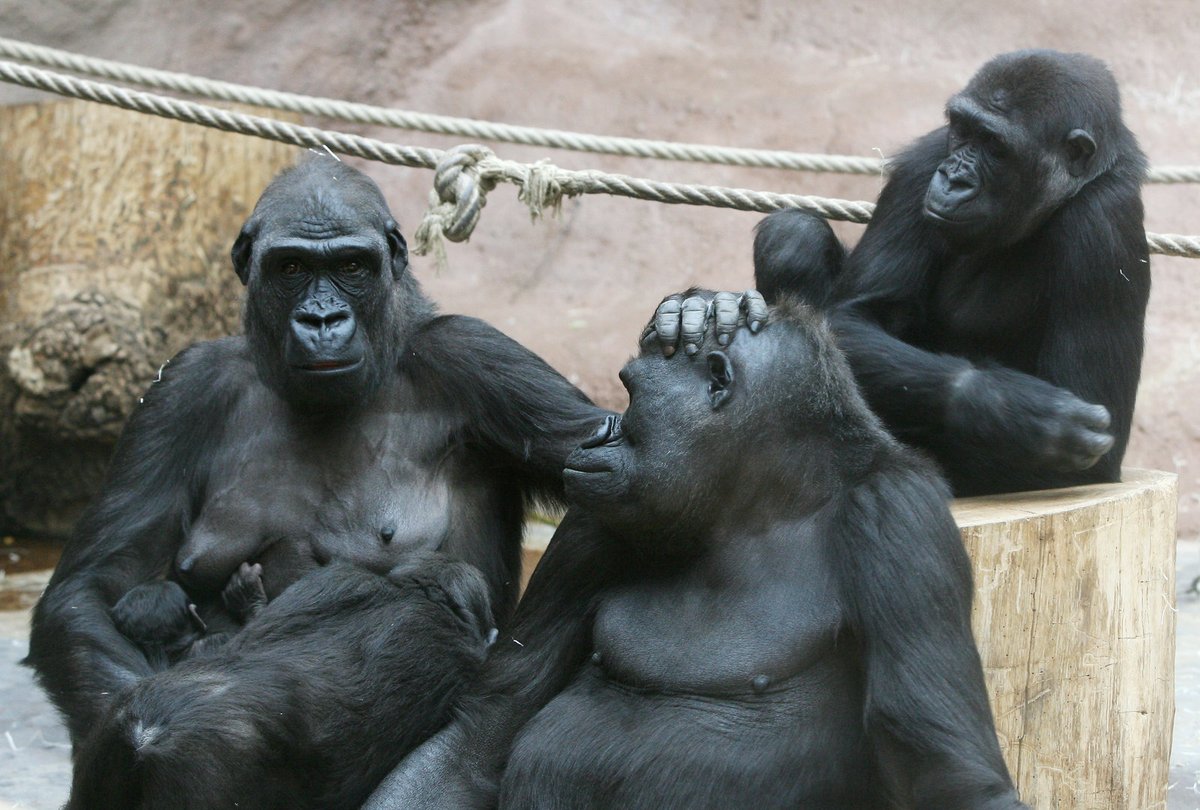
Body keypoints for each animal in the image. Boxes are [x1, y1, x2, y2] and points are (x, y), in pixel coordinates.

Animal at [362, 297, 1022, 810]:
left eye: (630, 394)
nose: (598, 436)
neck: (761, 504)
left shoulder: (897, 516)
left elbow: (948, 774)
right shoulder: (592, 523)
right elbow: (478, 742)